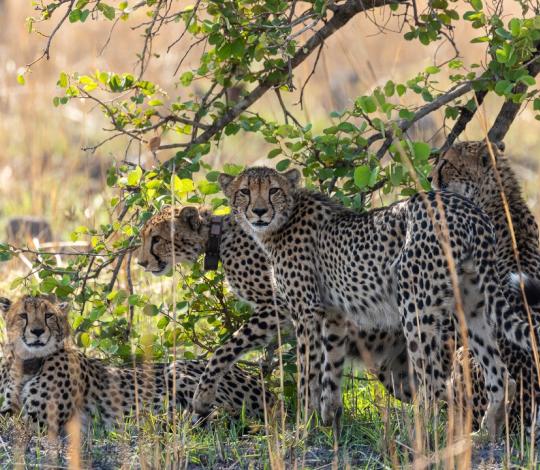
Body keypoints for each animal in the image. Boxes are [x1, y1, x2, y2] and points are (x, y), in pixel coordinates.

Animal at [0, 294, 272, 436]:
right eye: (23, 315)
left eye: (49, 316)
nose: (37, 332)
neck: (29, 363)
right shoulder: (12, 410)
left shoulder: (41, 421)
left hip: (178, 369)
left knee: (219, 414)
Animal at [138, 207, 414, 414]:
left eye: (157, 239)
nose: (141, 263)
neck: (218, 235)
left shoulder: (278, 306)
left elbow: (223, 350)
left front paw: (202, 396)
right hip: (394, 369)